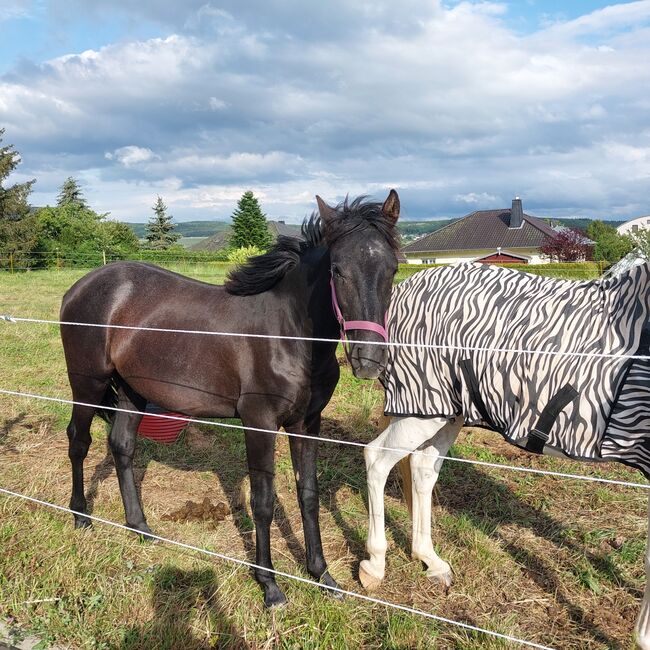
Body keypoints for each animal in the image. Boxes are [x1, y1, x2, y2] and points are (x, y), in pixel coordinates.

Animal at [59, 190, 400, 604]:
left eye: (393, 270)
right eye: (337, 271)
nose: (369, 360)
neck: (289, 334)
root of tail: (80, 286)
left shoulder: (307, 423)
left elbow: (308, 494)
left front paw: (322, 575)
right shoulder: (259, 424)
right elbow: (263, 503)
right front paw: (269, 584)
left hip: (132, 391)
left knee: (122, 446)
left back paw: (139, 526)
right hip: (87, 385)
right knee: (79, 441)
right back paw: (81, 517)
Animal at [360, 260, 650, 644]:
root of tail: (406, 288)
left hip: (446, 411)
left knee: (422, 468)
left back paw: (431, 561)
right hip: (421, 407)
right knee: (377, 460)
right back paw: (375, 565)